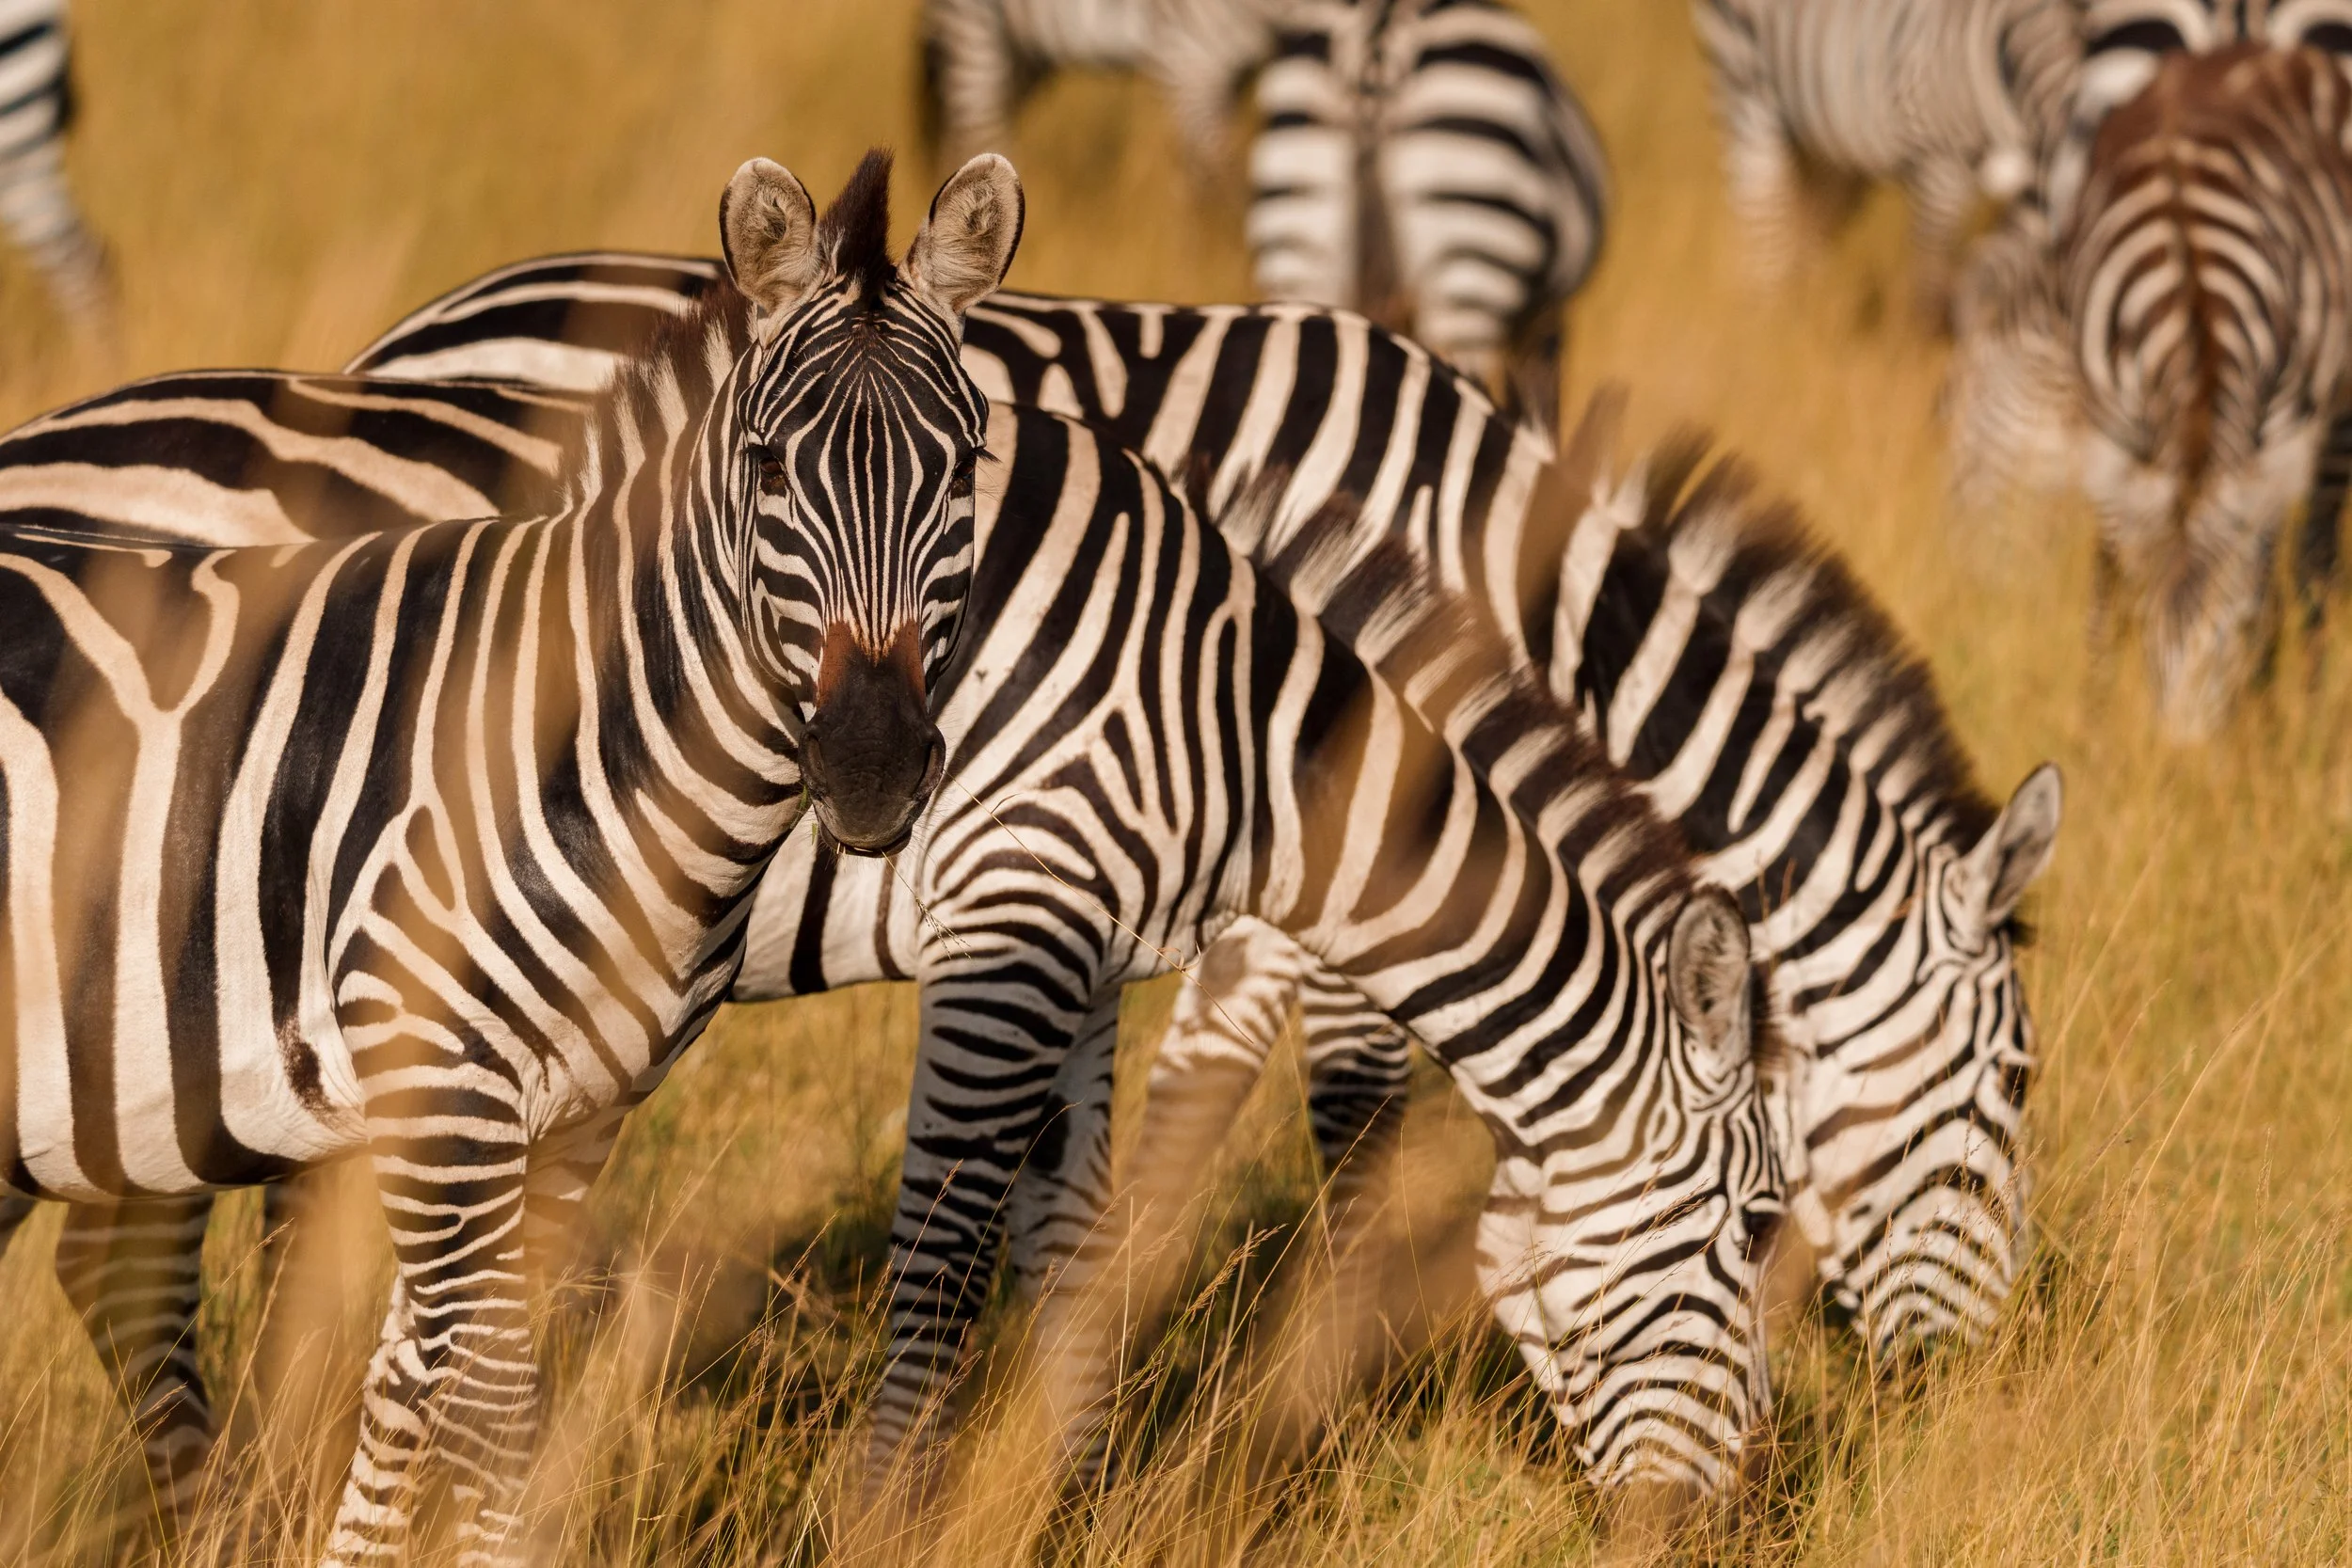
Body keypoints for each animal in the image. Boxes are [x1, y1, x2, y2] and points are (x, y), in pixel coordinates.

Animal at [1690, 0, 2082, 322]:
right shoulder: (1941, 163)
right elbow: (1928, 286)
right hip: (1742, 81)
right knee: (1762, 212)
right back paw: (1766, 325)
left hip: (1831, 139)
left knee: (1811, 225)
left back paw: (1804, 317)